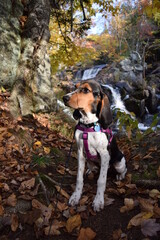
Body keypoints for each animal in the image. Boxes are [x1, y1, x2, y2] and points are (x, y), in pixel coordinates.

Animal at [63, 79, 127, 211]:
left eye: (86, 90)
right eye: (75, 87)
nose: (64, 98)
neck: (89, 125)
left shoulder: (105, 155)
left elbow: (101, 181)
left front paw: (98, 201)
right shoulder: (80, 152)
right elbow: (79, 178)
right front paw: (76, 196)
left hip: (119, 162)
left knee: (124, 169)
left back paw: (120, 176)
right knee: (92, 166)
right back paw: (91, 169)